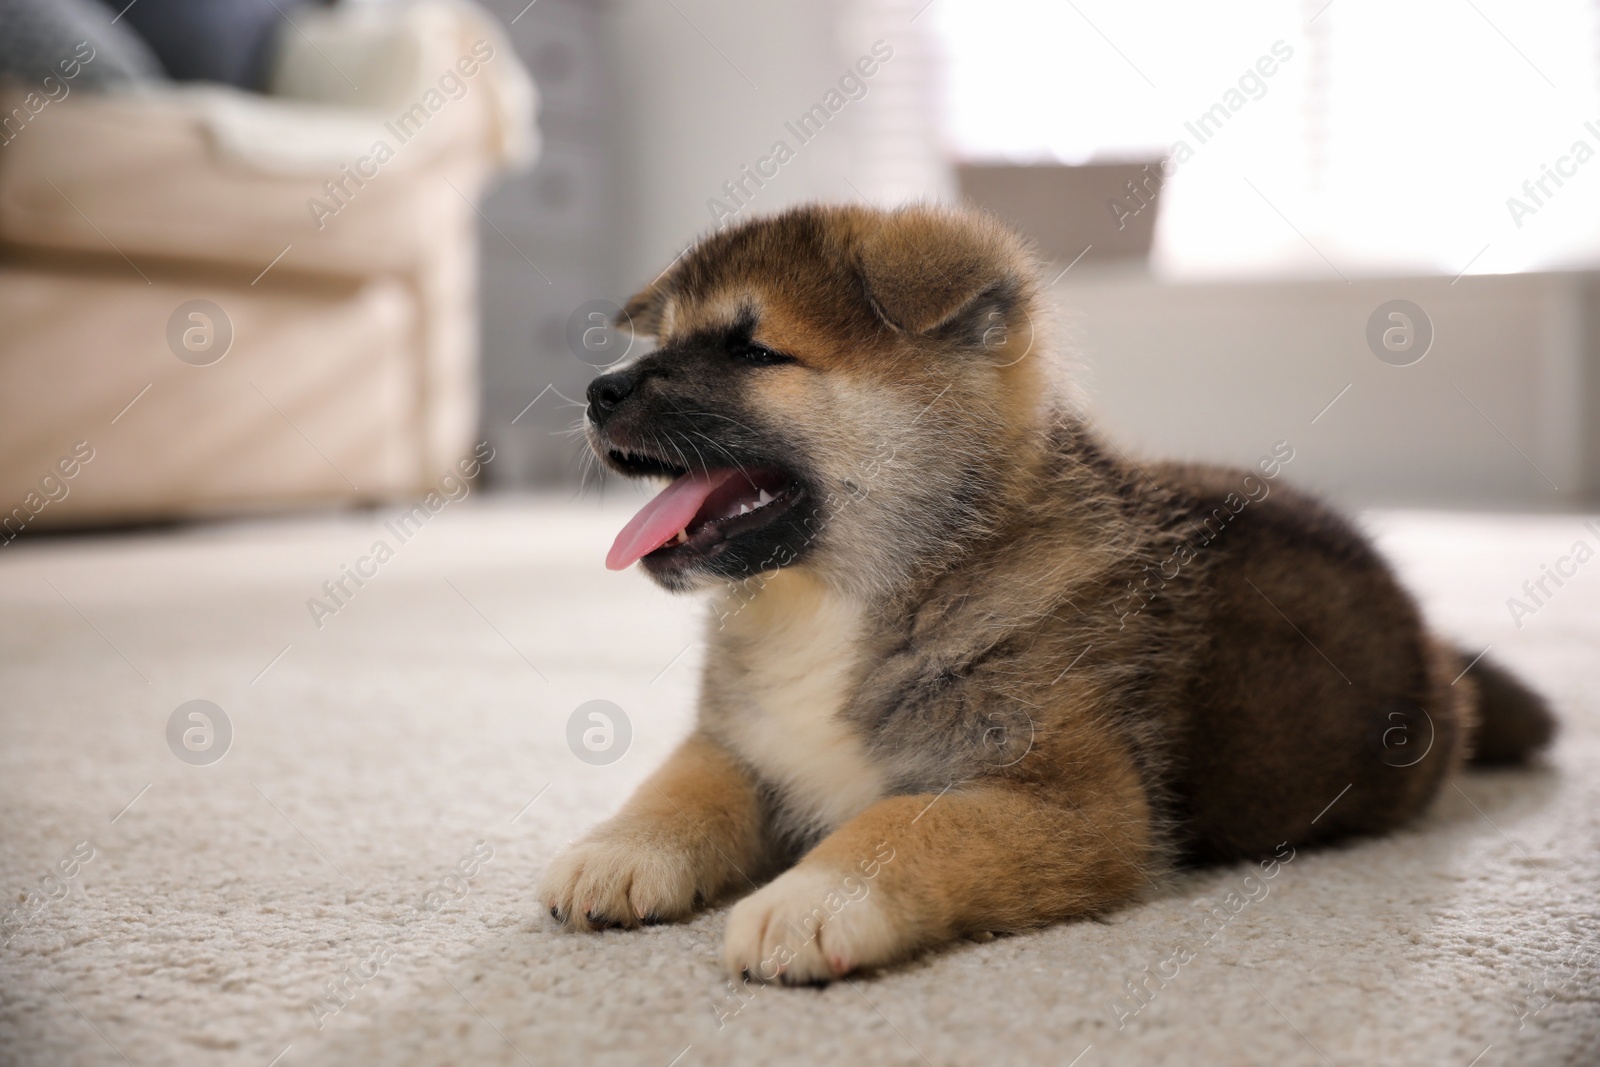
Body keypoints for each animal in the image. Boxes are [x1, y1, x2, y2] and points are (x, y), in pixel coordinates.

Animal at [534, 199, 1548, 985]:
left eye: (753, 351)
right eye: (667, 338)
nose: (596, 390)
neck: (845, 601)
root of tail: (1429, 646)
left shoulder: (1076, 801)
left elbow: (905, 822)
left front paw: (814, 897)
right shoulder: (741, 739)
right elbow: (679, 785)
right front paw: (618, 849)